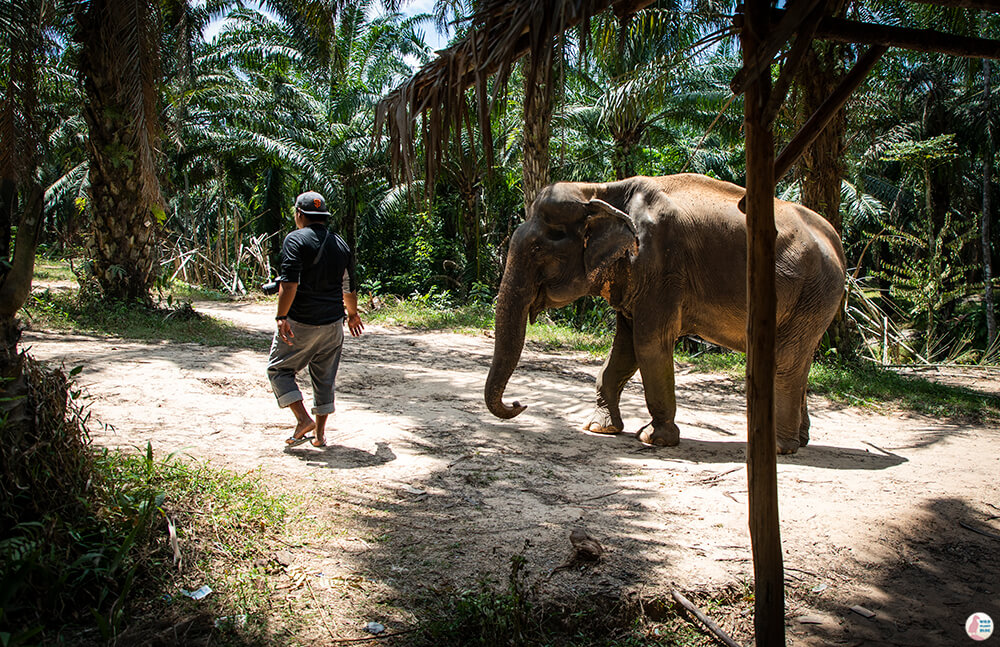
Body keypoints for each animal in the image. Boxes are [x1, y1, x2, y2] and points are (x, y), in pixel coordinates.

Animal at [484, 173, 844, 456]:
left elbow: (648, 343)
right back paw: (800, 441)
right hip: (814, 300)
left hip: (815, 291)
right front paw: (599, 427)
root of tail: (836, 241)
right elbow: (624, 348)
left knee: (786, 362)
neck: (601, 190)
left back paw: (780, 448)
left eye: (536, 249)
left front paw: (654, 439)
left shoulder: (659, 264)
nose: (519, 404)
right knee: (799, 359)